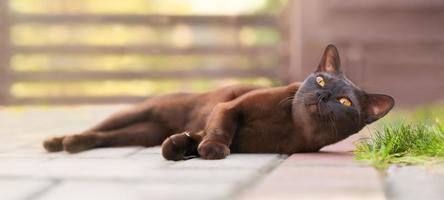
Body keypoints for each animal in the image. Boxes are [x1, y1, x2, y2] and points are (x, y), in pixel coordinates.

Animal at [43, 44, 394, 160]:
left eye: (344, 102)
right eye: (320, 81)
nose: (323, 95)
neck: (290, 125)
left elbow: (194, 138)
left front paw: (183, 147)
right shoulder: (229, 108)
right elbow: (221, 127)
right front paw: (212, 149)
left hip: (139, 133)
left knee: (105, 137)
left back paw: (73, 144)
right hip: (137, 112)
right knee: (96, 127)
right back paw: (60, 141)